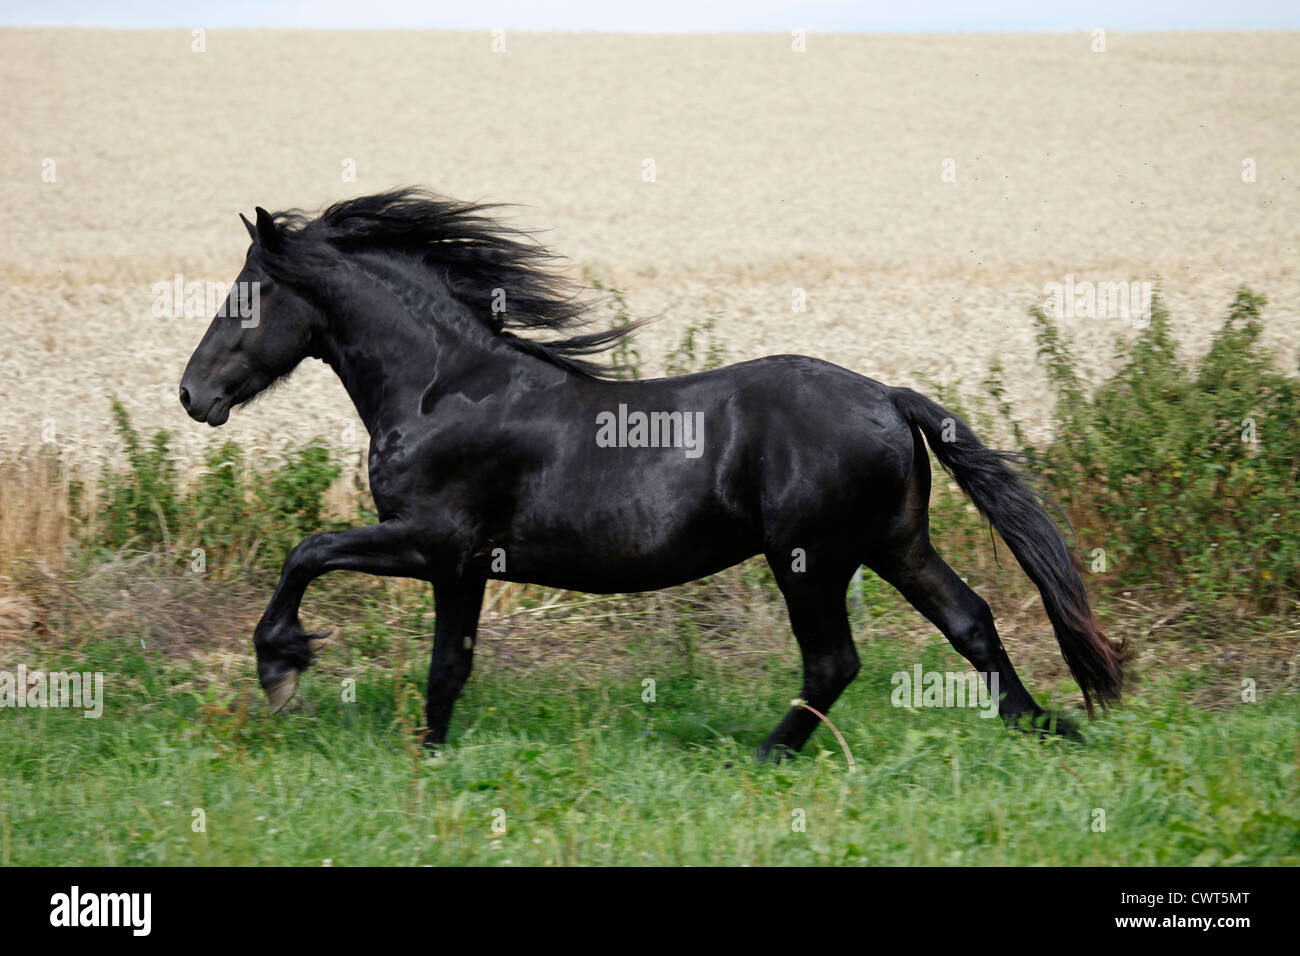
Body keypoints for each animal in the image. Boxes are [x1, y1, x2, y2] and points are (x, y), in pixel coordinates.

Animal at [183, 191, 1128, 759]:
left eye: (245, 296)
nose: (193, 395)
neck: (442, 387)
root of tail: (888, 398)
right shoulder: (463, 566)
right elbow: (450, 663)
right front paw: (432, 752)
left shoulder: (431, 543)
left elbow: (308, 552)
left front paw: (281, 668)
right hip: (896, 544)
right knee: (969, 622)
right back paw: (1047, 728)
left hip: (812, 560)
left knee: (835, 660)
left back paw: (767, 754)